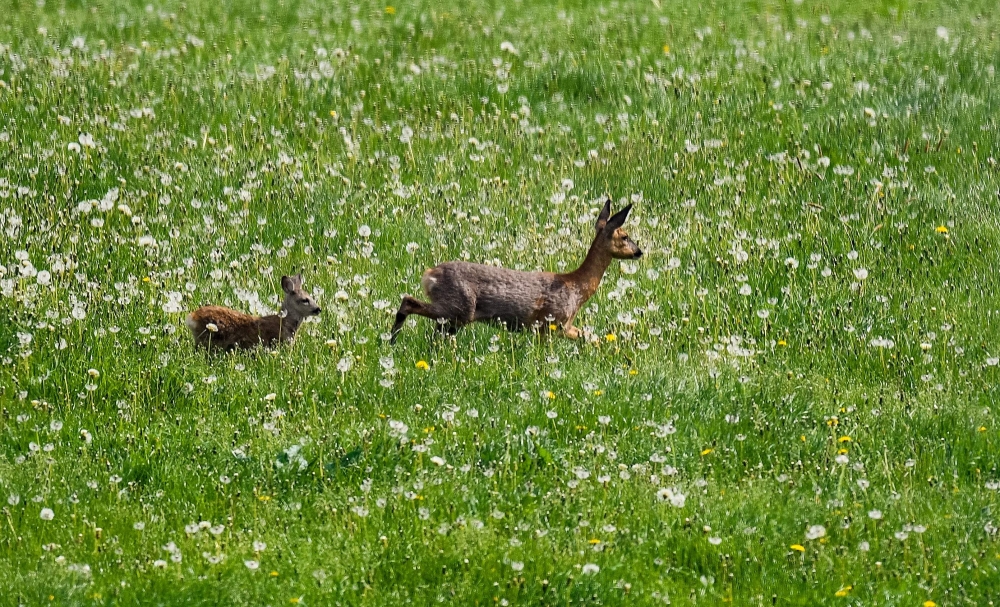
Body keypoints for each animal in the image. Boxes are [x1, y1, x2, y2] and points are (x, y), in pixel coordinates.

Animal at [390, 198, 641, 343]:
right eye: (625, 236)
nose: (639, 252)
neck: (576, 288)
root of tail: (430, 275)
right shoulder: (551, 322)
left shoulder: (564, 326)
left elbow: (591, 337)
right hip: (459, 307)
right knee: (408, 301)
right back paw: (392, 339)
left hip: (453, 317)